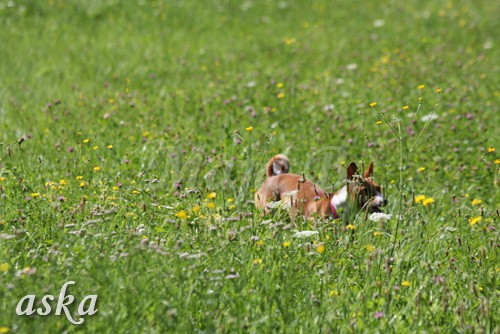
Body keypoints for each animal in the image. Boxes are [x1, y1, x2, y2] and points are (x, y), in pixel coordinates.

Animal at [254, 155, 386, 218]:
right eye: (365, 191)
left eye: (379, 188)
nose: (385, 200)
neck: (335, 206)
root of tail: (272, 177)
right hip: (267, 211)